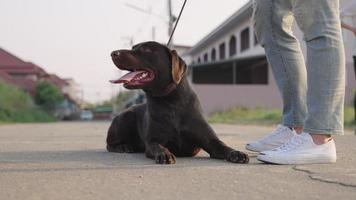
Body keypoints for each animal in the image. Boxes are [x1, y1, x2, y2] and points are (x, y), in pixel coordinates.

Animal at [107, 41, 249, 164]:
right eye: (133, 47)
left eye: (146, 49)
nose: (113, 53)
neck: (171, 101)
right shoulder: (153, 141)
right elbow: (158, 147)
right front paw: (164, 154)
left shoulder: (210, 140)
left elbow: (223, 146)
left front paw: (237, 153)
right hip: (125, 117)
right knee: (109, 144)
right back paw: (123, 147)